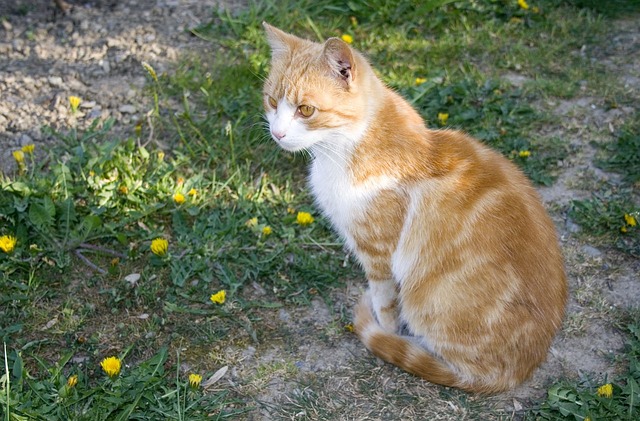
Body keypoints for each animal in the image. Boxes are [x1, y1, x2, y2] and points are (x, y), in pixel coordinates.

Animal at [262, 22, 568, 390]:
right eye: (271, 101)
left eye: (305, 110)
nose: (277, 133)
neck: (349, 146)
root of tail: (515, 372)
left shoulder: (378, 253)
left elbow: (386, 302)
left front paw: (387, 330)